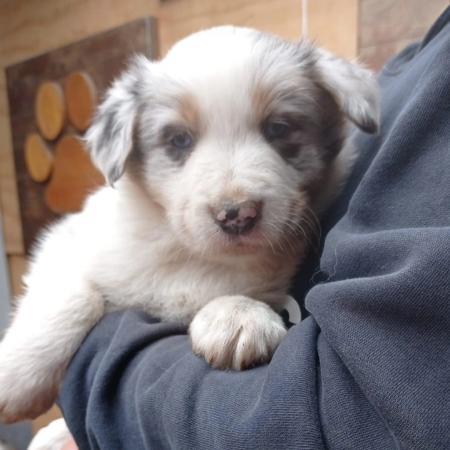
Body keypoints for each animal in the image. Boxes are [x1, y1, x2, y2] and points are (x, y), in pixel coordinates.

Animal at [0, 26, 380, 424]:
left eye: (279, 128)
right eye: (179, 139)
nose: (237, 214)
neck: (183, 249)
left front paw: (238, 316)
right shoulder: (67, 237)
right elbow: (75, 295)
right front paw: (17, 377)